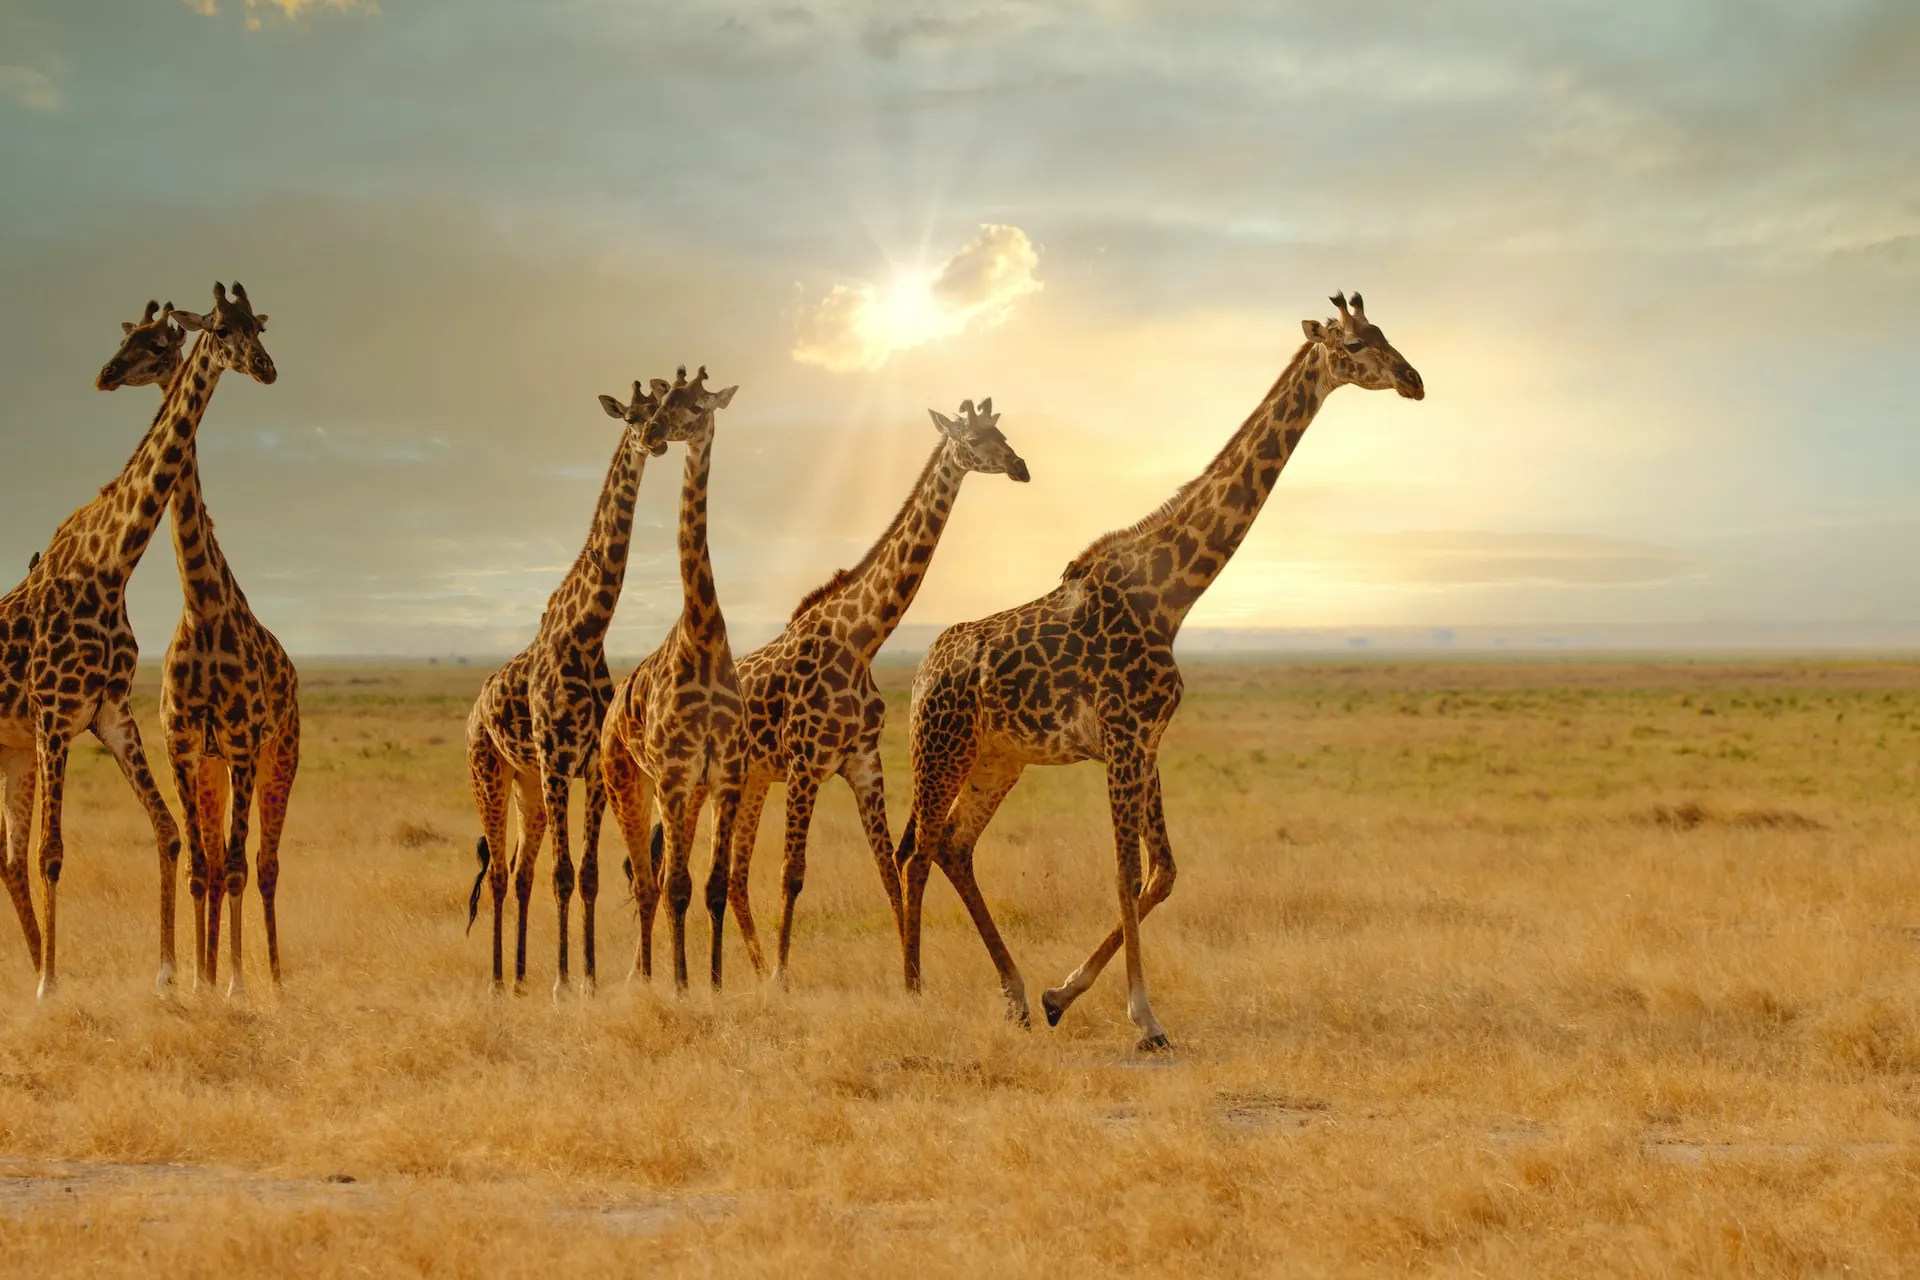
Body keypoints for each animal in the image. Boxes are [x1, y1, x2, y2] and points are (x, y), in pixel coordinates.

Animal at [0, 282, 278, 997]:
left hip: (13, 750)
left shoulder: (110, 715)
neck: (111, 565)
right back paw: (37, 969)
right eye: (219, 328)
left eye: (258, 328)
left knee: (8, 859)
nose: (266, 369)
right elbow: (53, 851)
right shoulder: (54, 716)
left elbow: (170, 833)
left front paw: (169, 975)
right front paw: (50, 986)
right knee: (19, 855)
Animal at [462, 376, 675, 997]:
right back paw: (498, 982)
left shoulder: (589, 772)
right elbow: (563, 873)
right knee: (501, 873)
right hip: (489, 771)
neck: (587, 629)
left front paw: (587, 979)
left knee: (518, 870)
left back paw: (520, 977)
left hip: (527, 784)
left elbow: (587, 874)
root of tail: (474, 710)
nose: (653, 440)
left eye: (662, 410)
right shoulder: (559, 764)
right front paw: (563, 982)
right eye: (630, 416)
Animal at [721, 395, 1029, 990]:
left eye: (1003, 433)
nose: (1020, 467)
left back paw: (748, 970)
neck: (861, 641)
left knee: (729, 874)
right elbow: (792, 873)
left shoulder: (863, 762)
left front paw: (912, 981)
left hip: (750, 781)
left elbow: (887, 867)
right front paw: (785, 979)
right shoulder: (805, 764)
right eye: (973, 439)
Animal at [890, 293, 1420, 1051]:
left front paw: (1060, 995)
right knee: (917, 850)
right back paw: (911, 992)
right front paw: (1145, 1018)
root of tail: (918, 676)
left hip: (998, 758)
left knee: (955, 846)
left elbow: (1163, 872)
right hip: (941, 749)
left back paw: (1016, 996)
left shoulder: (1147, 741)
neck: (1170, 596)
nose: (1414, 380)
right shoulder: (1121, 738)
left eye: (1384, 333)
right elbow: (1124, 872)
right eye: (1352, 344)